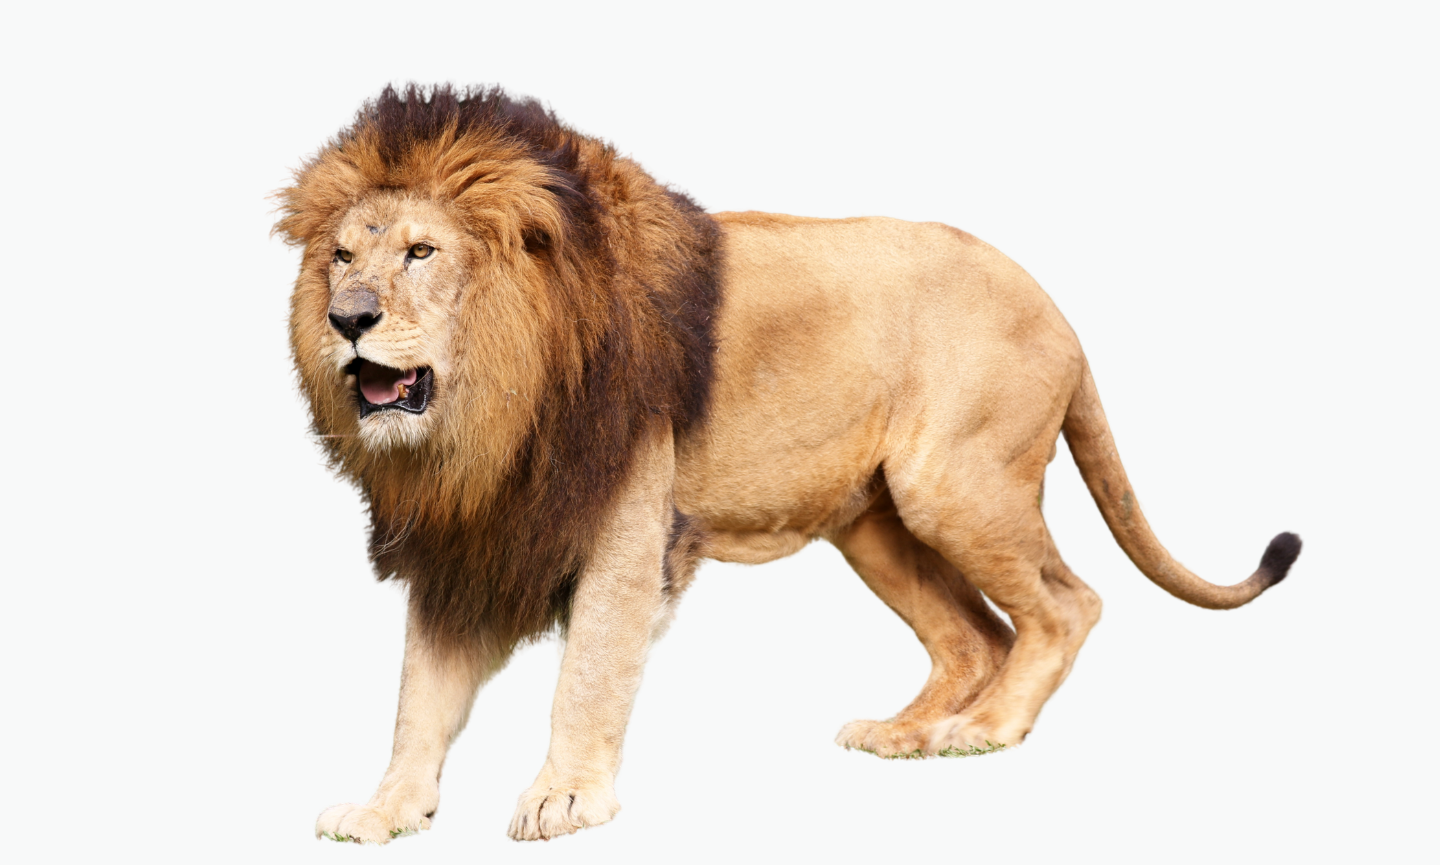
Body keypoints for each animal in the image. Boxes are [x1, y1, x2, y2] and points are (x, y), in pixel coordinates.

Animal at [277, 84, 1301, 844]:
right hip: (877, 524)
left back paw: (983, 731)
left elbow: (589, 675)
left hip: (953, 484)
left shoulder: (626, 530)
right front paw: (385, 807)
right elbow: (420, 694)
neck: (489, 411)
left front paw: (564, 796)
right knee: (976, 635)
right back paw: (904, 733)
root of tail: (1060, 312)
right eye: (341, 257)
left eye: (421, 252)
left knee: (1066, 604)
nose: (347, 318)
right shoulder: (468, 542)